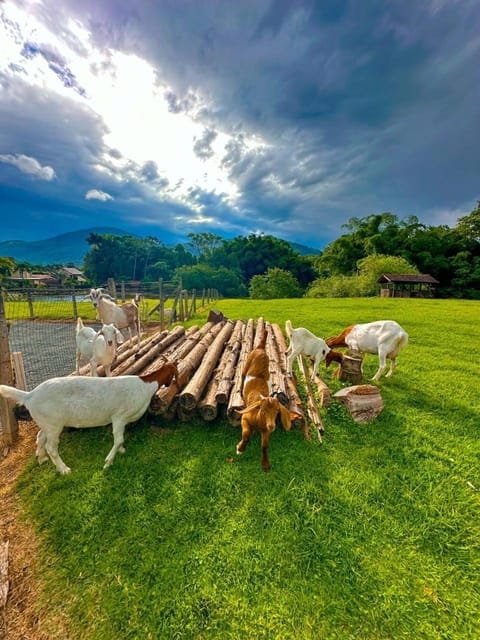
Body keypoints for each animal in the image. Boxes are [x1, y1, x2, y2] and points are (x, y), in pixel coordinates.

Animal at [0, 362, 178, 472]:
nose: (170, 384)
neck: (145, 385)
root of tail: (29, 395)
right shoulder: (119, 417)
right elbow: (118, 439)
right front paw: (108, 462)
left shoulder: (123, 420)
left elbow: (120, 439)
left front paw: (121, 450)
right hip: (54, 424)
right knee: (51, 447)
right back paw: (64, 469)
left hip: (47, 423)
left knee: (40, 437)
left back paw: (42, 458)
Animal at [237, 330, 292, 470]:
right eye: (262, 411)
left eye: (277, 412)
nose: (272, 426)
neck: (258, 420)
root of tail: (261, 348)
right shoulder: (244, 418)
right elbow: (246, 435)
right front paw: (240, 448)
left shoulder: (266, 431)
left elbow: (265, 446)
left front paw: (265, 464)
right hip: (248, 361)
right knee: (242, 375)